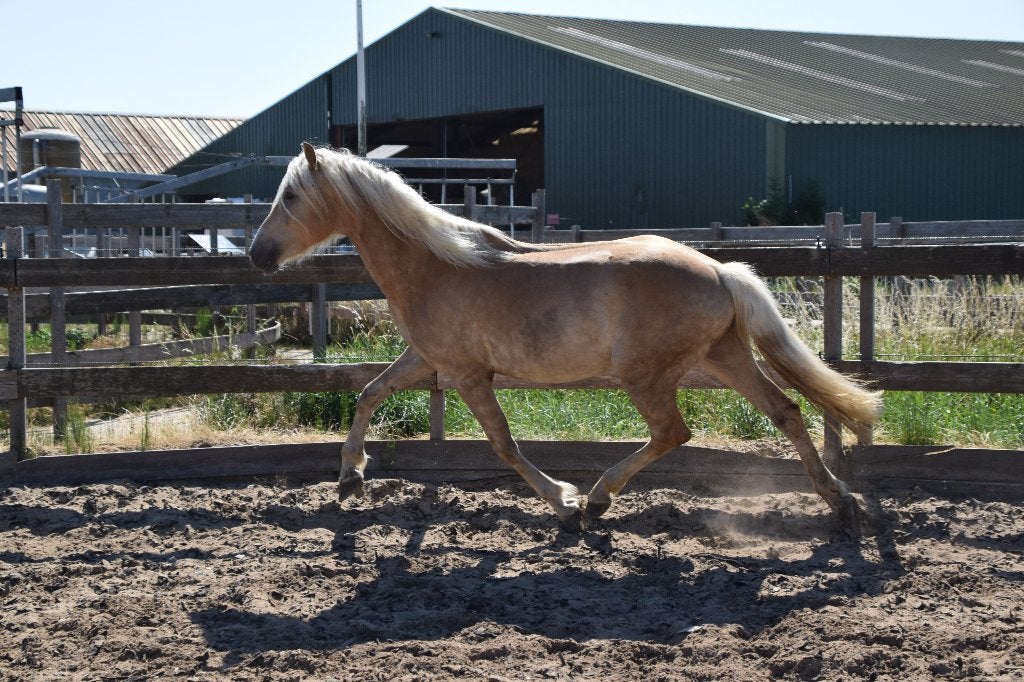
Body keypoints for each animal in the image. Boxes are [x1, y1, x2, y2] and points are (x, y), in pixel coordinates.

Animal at [250, 143, 882, 532]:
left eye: (290, 196)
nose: (257, 255)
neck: (435, 264)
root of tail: (718, 269)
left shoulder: (467, 375)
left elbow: (504, 444)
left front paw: (563, 502)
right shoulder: (426, 361)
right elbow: (368, 394)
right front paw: (349, 478)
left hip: (646, 376)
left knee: (674, 433)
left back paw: (597, 500)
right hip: (725, 356)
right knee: (786, 411)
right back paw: (843, 504)